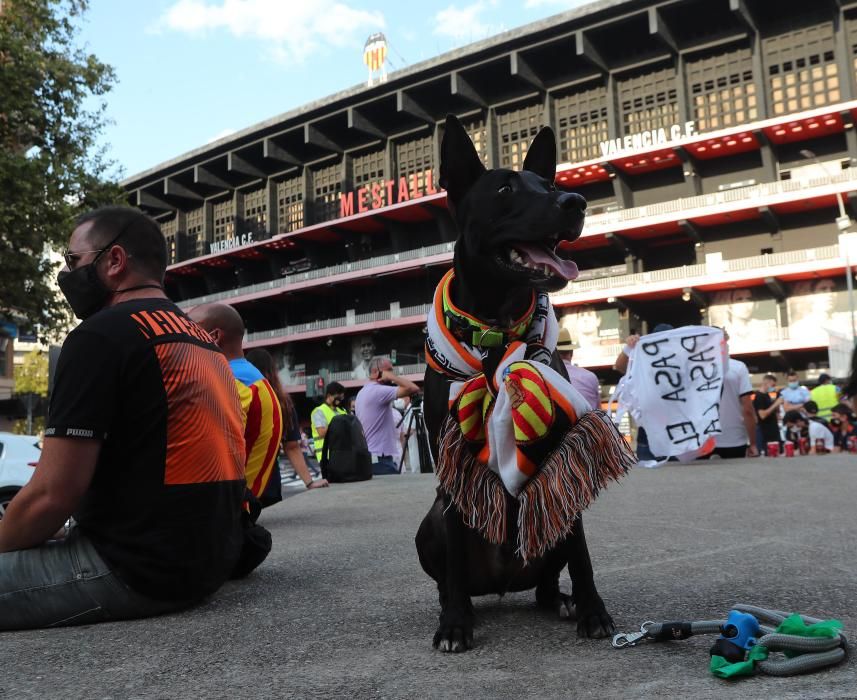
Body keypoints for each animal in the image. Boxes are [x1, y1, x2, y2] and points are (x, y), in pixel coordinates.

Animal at [416, 112, 612, 652]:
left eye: (551, 185)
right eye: (505, 189)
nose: (575, 202)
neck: (496, 334)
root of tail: (502, 582)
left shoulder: (563, 452)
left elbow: (583, 554)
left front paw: (592, 610)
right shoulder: (450, 456)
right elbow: (454, 561)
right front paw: (455, 624)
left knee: (548, 579)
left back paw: (562, 600)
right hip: (428, 525)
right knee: (450, 574)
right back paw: (456, 606)